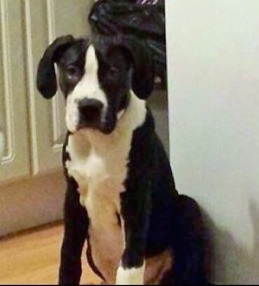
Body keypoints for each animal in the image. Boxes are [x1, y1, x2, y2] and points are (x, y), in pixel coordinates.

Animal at [36, 34, 208, 284]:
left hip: (188, 207)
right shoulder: (73, 199)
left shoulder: (134, 199)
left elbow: (130, 264)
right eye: (71, 71)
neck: (96, 142)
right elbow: (68, 256)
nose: (89, 107)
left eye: (112, 72)